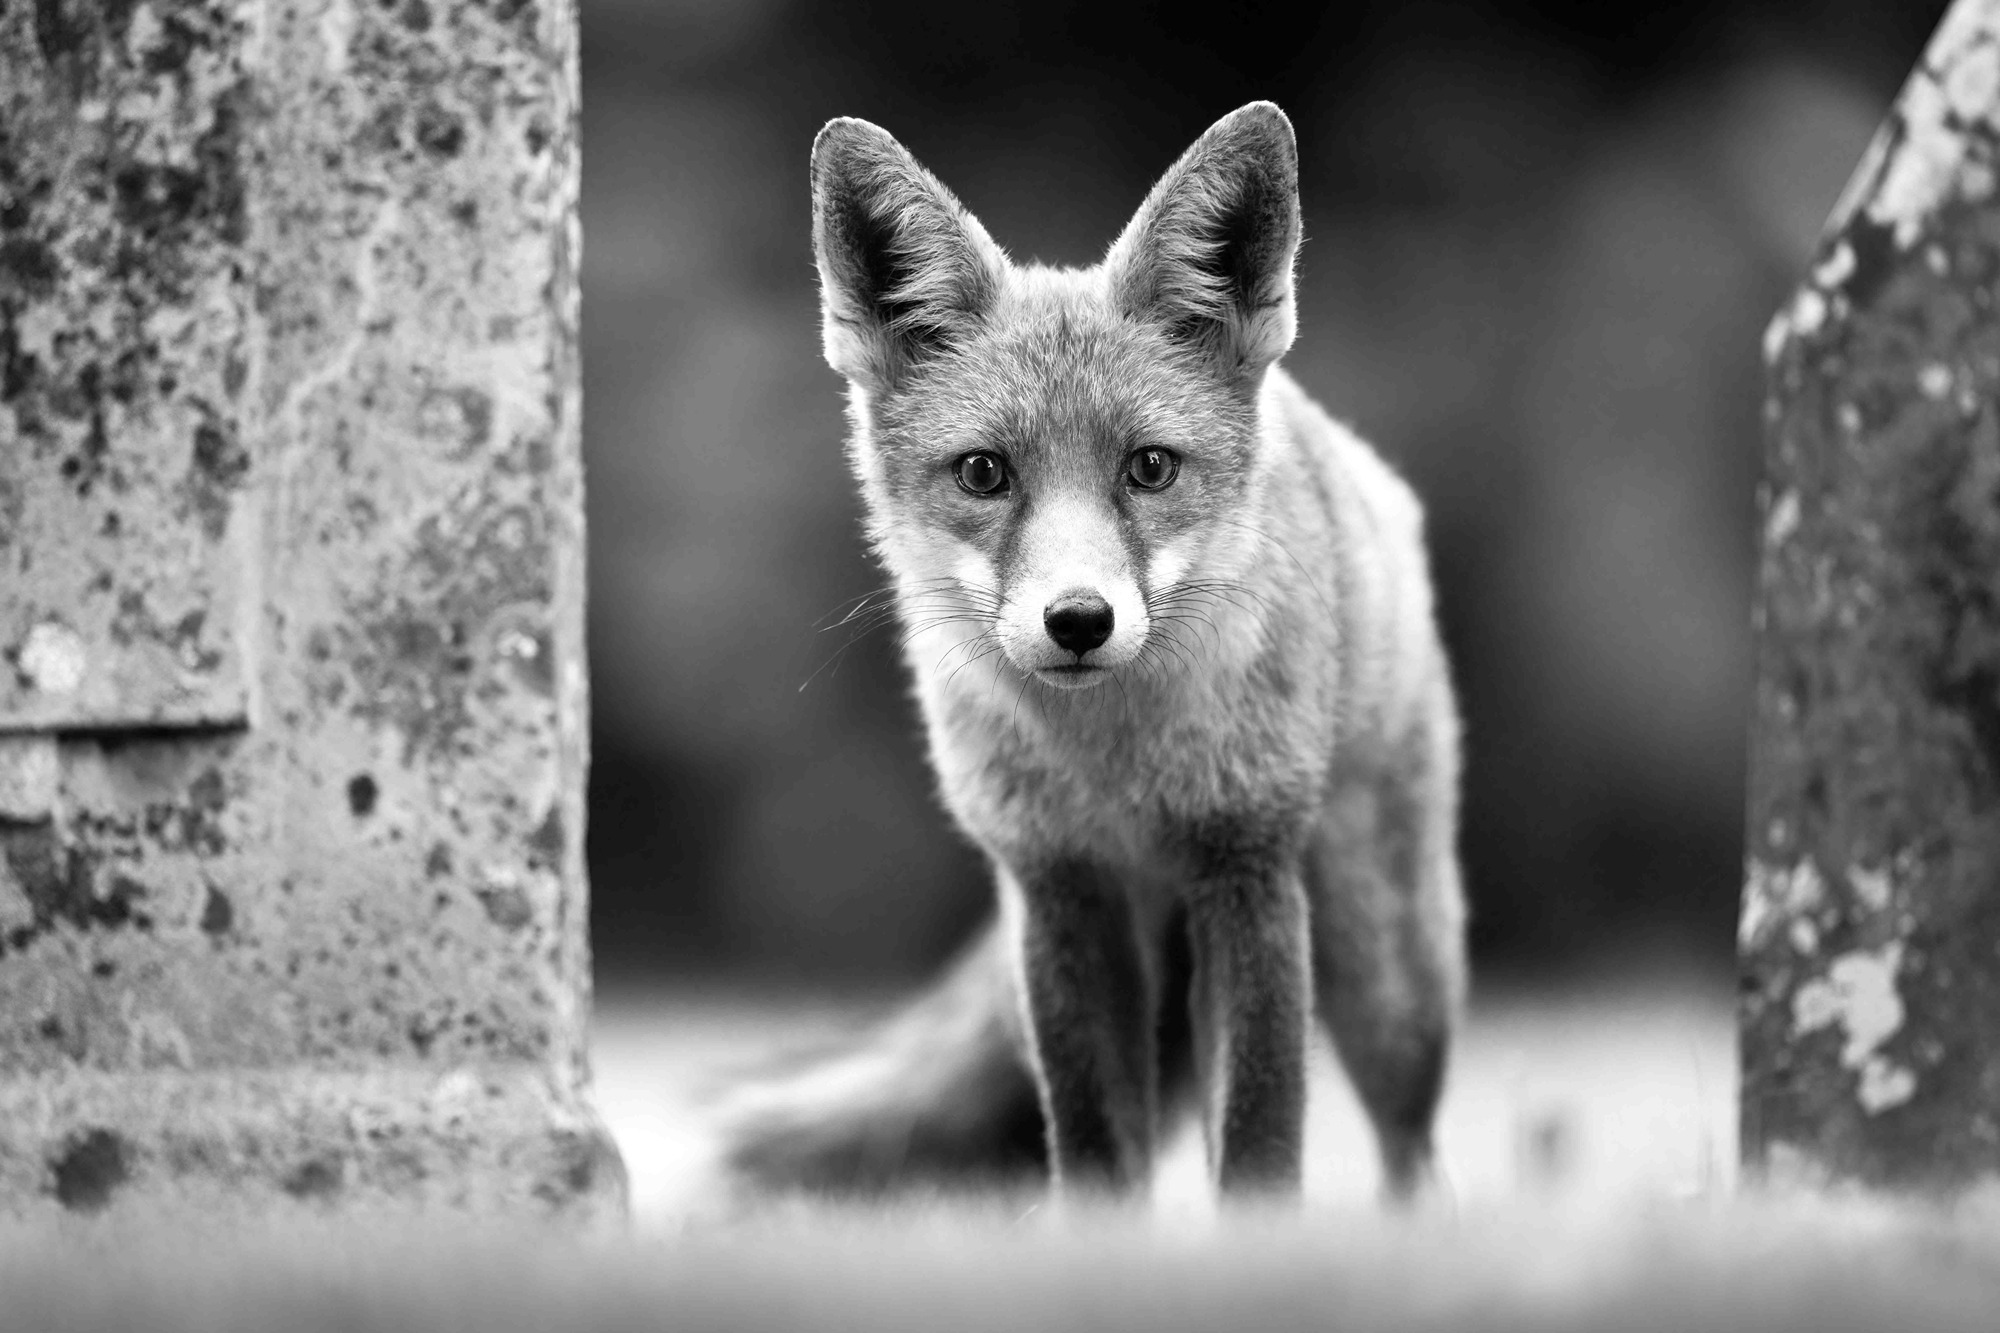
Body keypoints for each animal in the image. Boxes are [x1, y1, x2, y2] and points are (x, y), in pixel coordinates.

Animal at [720, 104, 1472, 1200]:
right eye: (983, 473)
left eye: (1148, 468)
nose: (1078, 620)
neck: (1116, 770)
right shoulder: (1059, 890)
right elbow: (1092, 1153)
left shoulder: (1246, 868)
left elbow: (1258, 1142)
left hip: (1386, 966)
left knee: (1411, 1150)